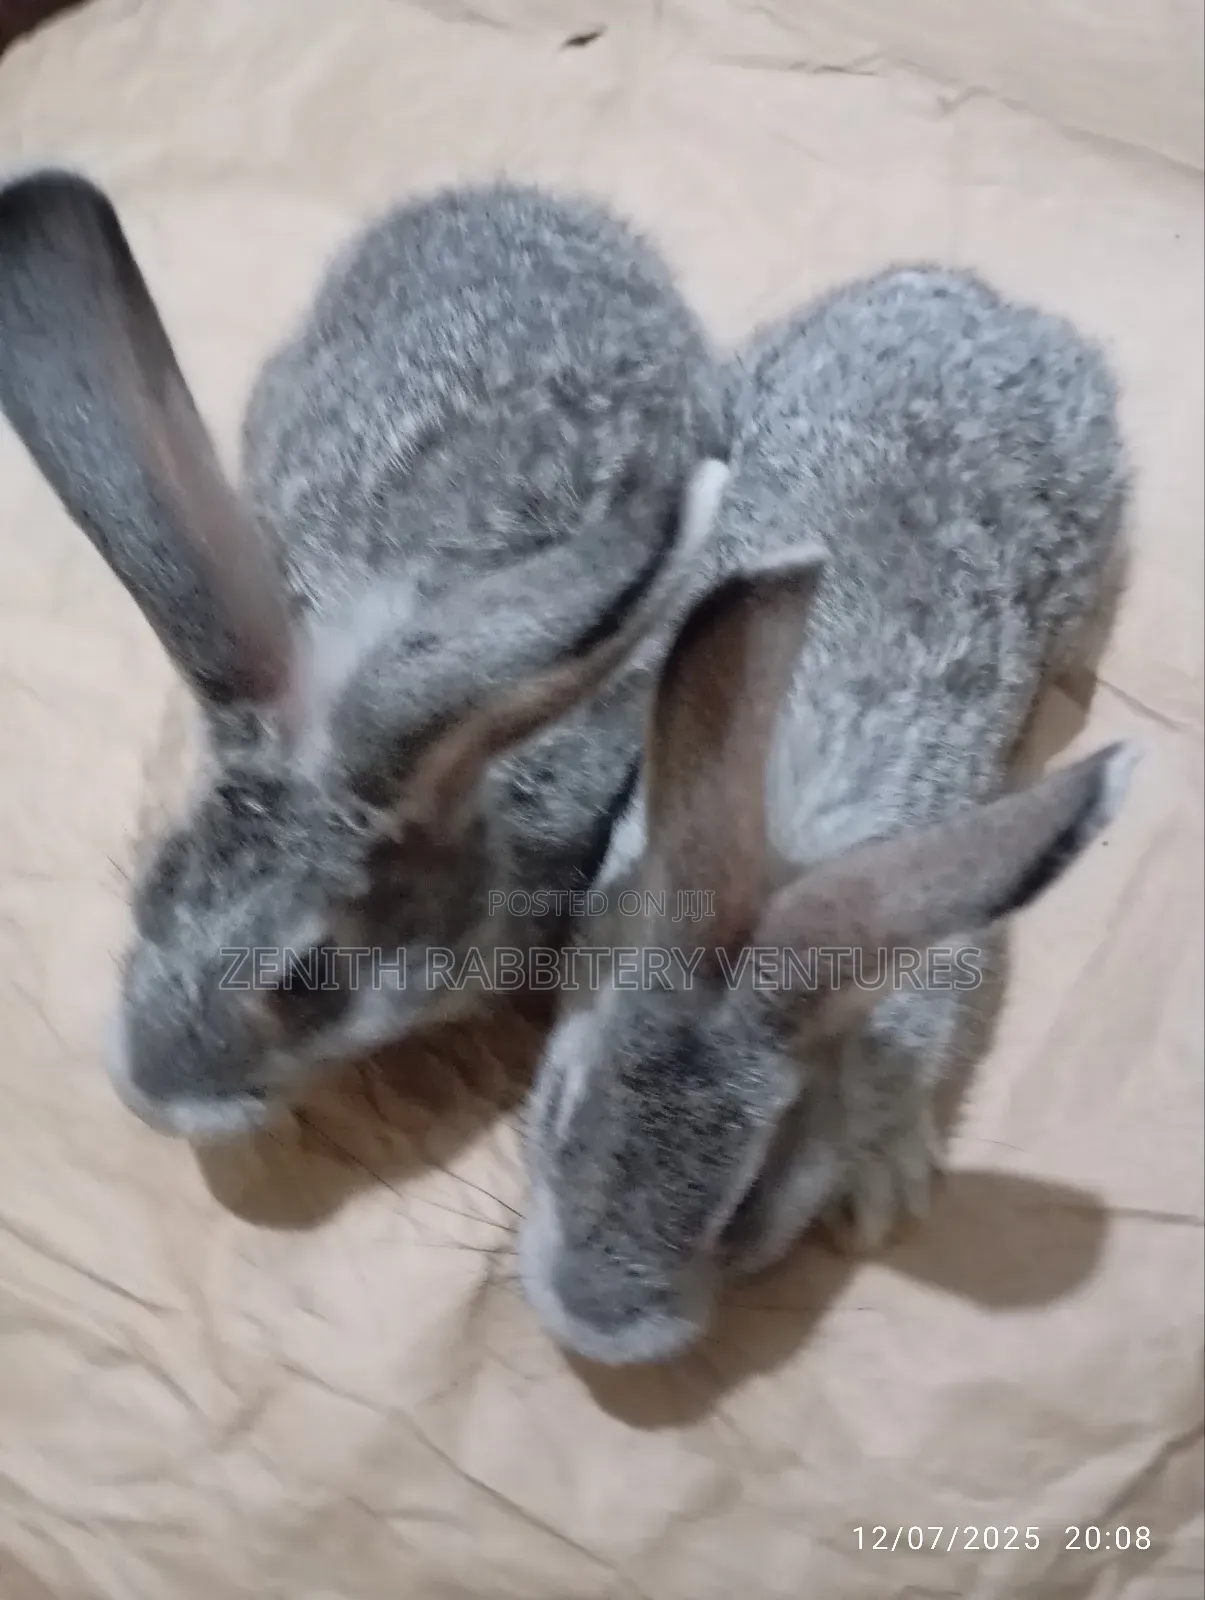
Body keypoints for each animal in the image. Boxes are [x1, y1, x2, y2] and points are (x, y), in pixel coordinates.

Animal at [517, 263, 1135, 1366]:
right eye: (554, 1111)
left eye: (742, 1203)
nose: (589, 1328)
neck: (776, 888)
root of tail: (989, 303)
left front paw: (885, 1179)